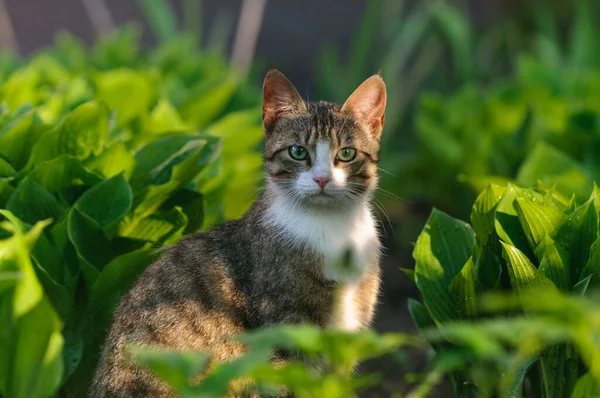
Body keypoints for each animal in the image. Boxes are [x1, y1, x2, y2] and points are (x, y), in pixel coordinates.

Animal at [91, 70, 386, 396]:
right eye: (298, 152)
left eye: (346, 154)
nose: (322, 179)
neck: (331, 226)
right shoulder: (283, 330)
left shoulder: (350, 328)